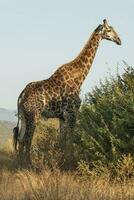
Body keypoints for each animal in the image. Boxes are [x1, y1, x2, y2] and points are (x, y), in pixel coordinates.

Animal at [13, 19, 121, 166]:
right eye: (109, 30)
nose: (119, 40)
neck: (80, 77)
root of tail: (22, 95)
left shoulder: (62, 117)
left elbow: (62, 142)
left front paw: (61, 161)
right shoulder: (72, 113)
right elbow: (70, 140)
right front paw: (69, 163)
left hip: (23, 115)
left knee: (20, 138)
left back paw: (20, 164)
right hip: (33, 115)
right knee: (27, 139)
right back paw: (29, 165)